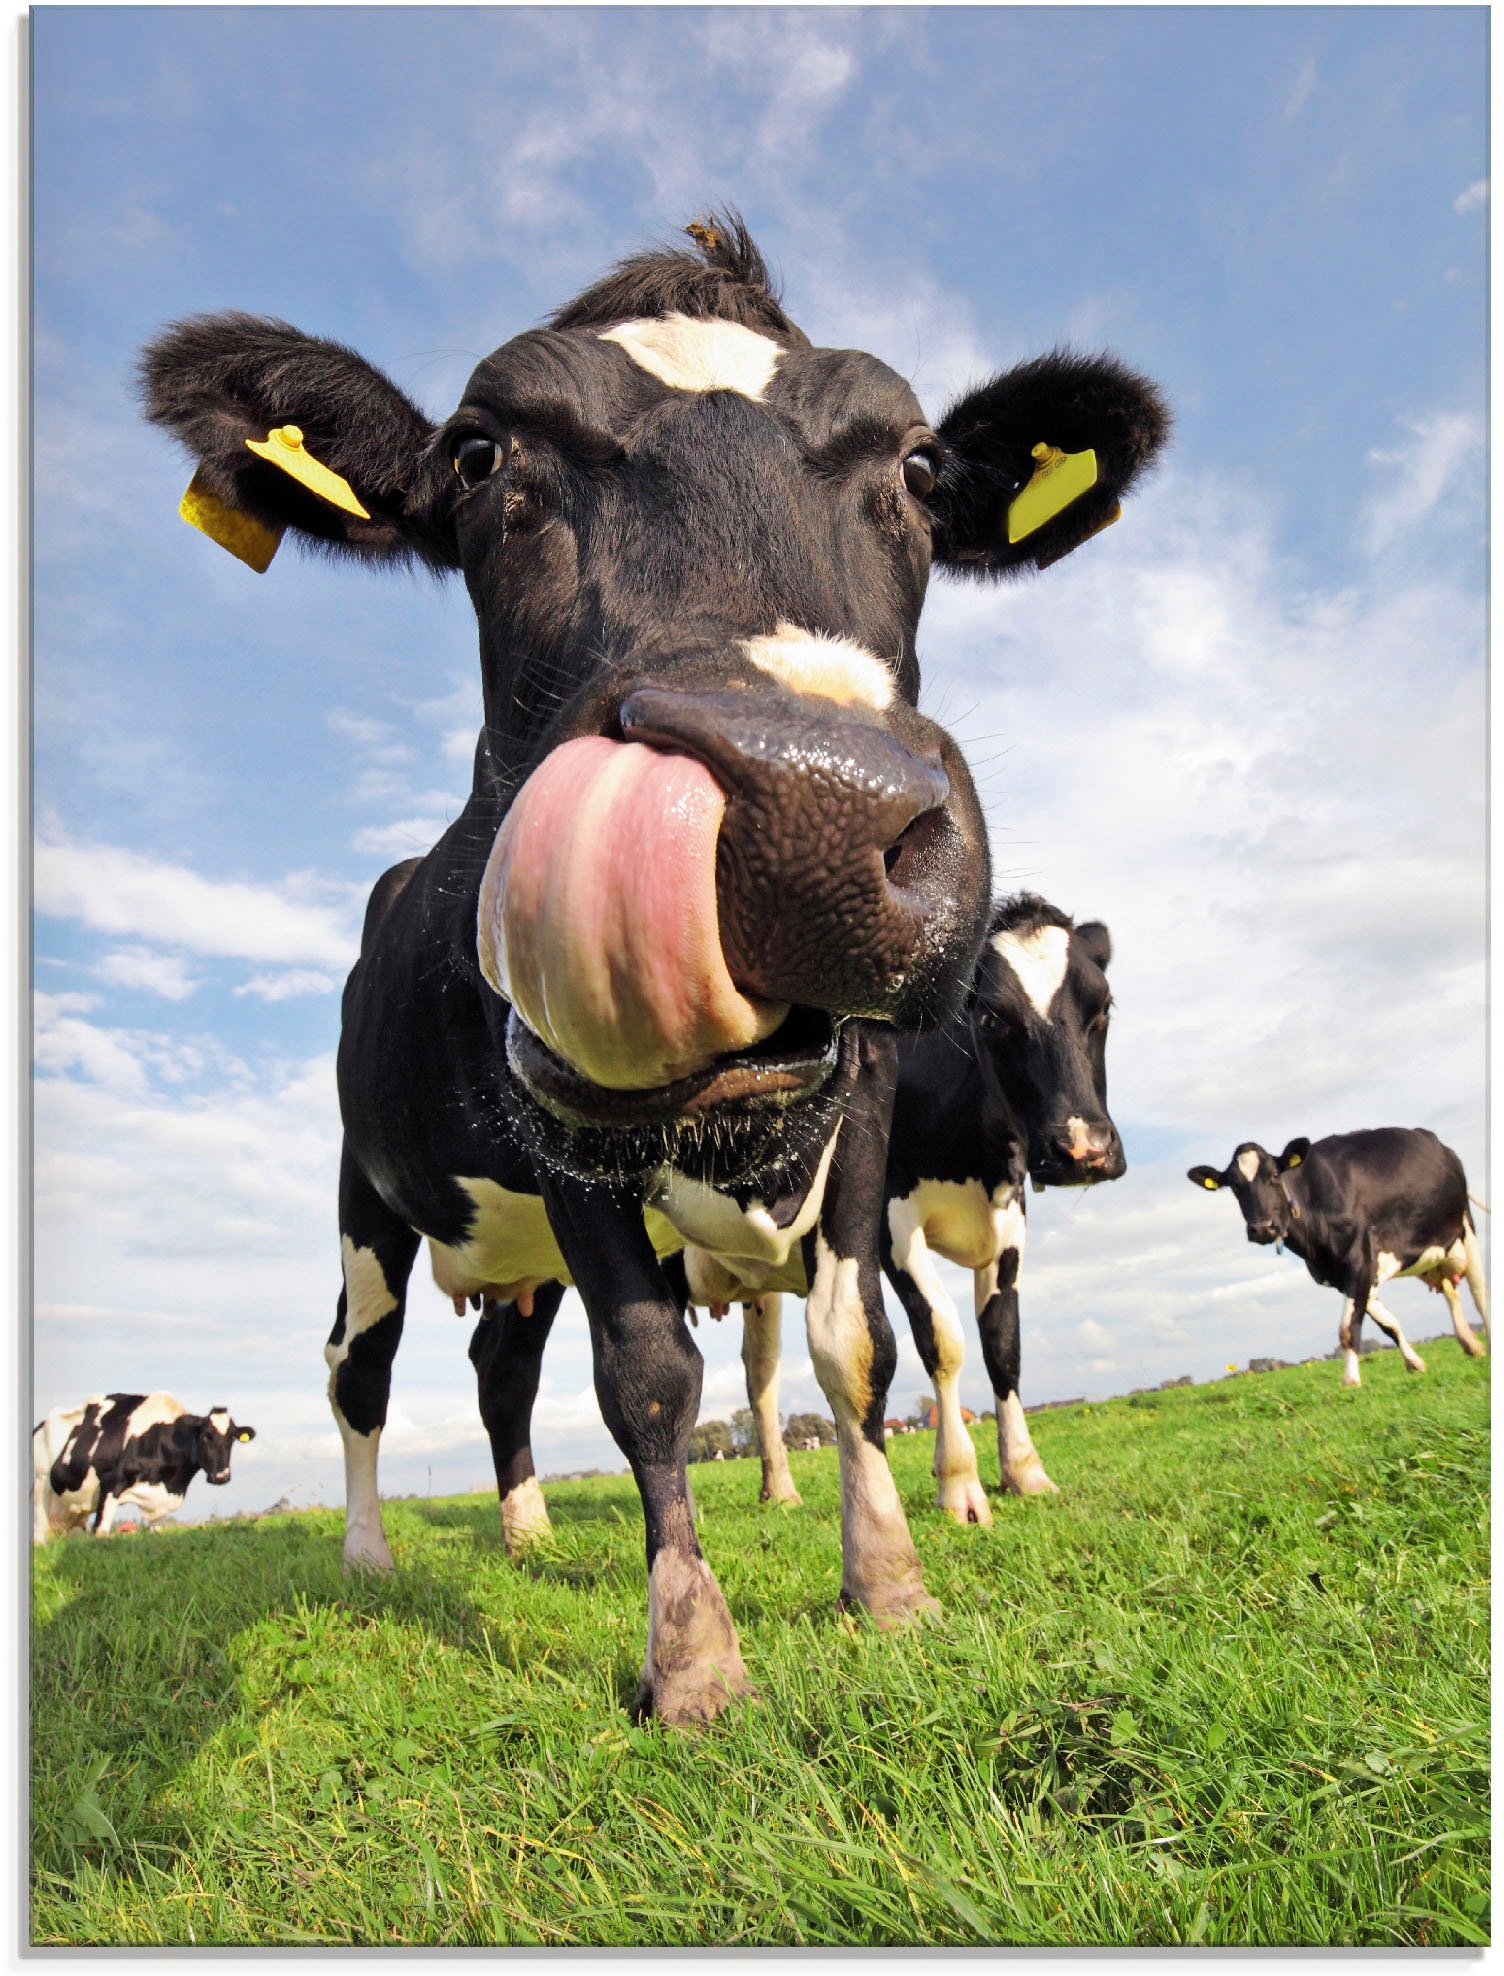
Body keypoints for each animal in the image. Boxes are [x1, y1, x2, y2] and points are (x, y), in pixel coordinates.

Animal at [32, 1394, 256, 1542]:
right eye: (206, 1436)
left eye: (232, 1438)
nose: (221, 1476)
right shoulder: (111, 1483)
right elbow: (102, 1531)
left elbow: (157, 1530)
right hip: (41, 1483)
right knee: (39, 1533)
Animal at [142, 214, 1168, 1725]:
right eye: (478, 456)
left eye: (921, 468)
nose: (813, 807)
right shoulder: (560, 1123)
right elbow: (646, 1374)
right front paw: (690, 1653)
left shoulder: (865, 1111)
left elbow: (857, 1345)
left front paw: (890, 1582)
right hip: (366, 1197)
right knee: (359, 1366)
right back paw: (371, 1553)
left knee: (501, 1369)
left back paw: (521, 1528)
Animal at [1187, 1129, 1490, 1386]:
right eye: (1234, 1186)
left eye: (1274, 1175)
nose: (1262, 1228)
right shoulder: (1343, 1274)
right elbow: (1388, 1324)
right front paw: (1414, 1363)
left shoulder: (1359, 1259)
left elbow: (1347, 1329)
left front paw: (1350, 1380)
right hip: (1435, 1252)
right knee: (1450, 1290)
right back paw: (1470, 1344)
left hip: (1465, 1227)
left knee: (1479, 1294)